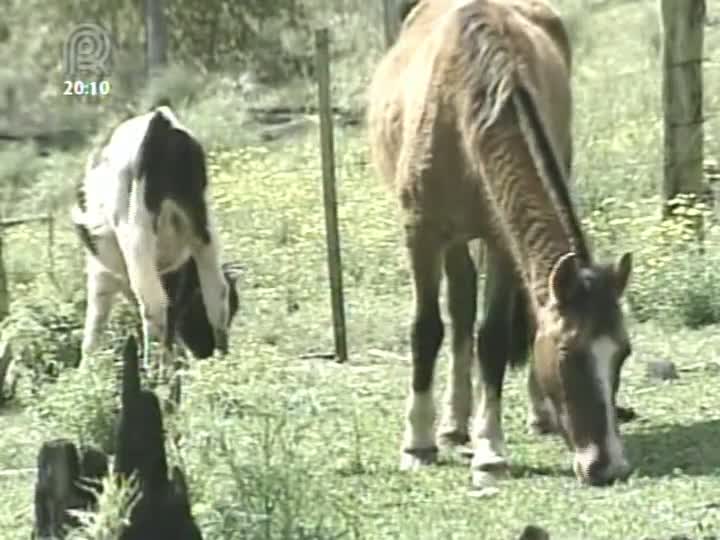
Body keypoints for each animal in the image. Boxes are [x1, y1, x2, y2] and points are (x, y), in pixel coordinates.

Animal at [71, 105, 233, 368]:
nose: (202, 352)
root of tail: (160, 121)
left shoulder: (101, 270)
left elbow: (95, 322)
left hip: (135, 231)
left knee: (153, 304)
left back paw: (154, 370)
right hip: (203, 228)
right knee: (216, 293)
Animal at [368, 0, 632, 488]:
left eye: (623, 353)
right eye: (568, 352)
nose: (608, 466)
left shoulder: (500, 239)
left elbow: (491, 337)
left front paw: (489, 449)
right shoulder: (421, 233)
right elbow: (425, 330)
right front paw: (418, 443)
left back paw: (529, 414)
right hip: (451, 240)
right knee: (457, 309)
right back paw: (452, 423)